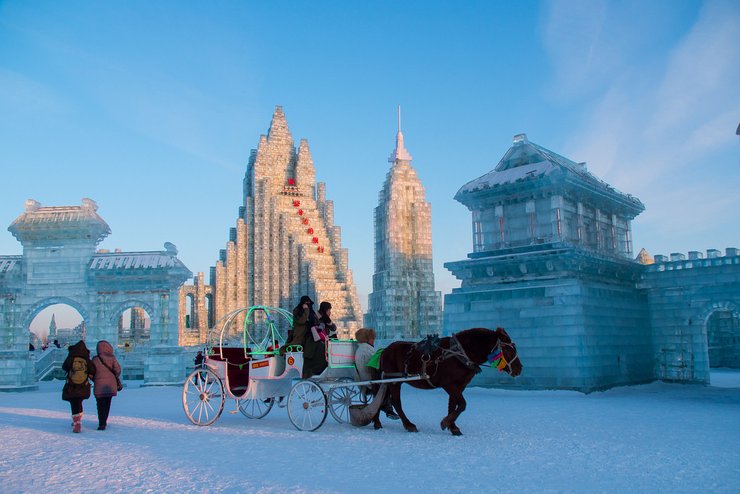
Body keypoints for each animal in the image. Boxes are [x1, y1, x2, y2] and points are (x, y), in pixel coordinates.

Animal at [376, 328, 520, 436]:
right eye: (508, 350)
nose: (519, 369)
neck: (459, 354)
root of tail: (385, 350)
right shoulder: (449, 385)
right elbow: (462, 404)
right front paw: (445, 423)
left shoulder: (459, 386)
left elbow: (453, 405)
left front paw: (453, 426)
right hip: (394, 381)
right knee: (396, 402)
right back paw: (408, 424)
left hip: (392, 380)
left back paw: (377, 422)